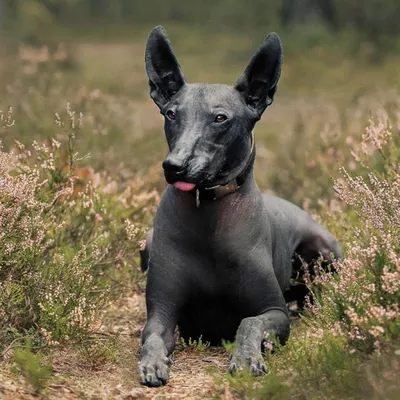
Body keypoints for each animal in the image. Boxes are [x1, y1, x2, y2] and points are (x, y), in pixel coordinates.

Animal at [138, 25, 340, 388]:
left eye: (220, 118)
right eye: (172, 113)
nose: (175, 166)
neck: (207, 213)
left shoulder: (274, 312)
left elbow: (249, 323)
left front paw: (247, 356)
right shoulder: (162, 311)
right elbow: (153, 336)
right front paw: (152, 362)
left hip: (324, 250)